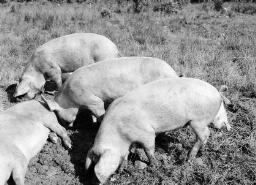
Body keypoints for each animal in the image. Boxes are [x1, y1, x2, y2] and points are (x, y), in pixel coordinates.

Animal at [41, 56, 178, 125]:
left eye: (58, 115)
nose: (67, 126)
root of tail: (173, 73)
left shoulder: (91, 100)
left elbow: (100, 110)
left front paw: (98, 122)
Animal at [86, 77, 232, 184]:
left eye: (96, 162)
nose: (93, 181)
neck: (119, 133)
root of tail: (217, 93)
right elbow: (127, 153)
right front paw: (123, 168)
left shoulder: (146, 133)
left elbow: (149, 149)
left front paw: (154, 165)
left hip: (198, 121)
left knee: (205, 134)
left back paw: (189, 158)